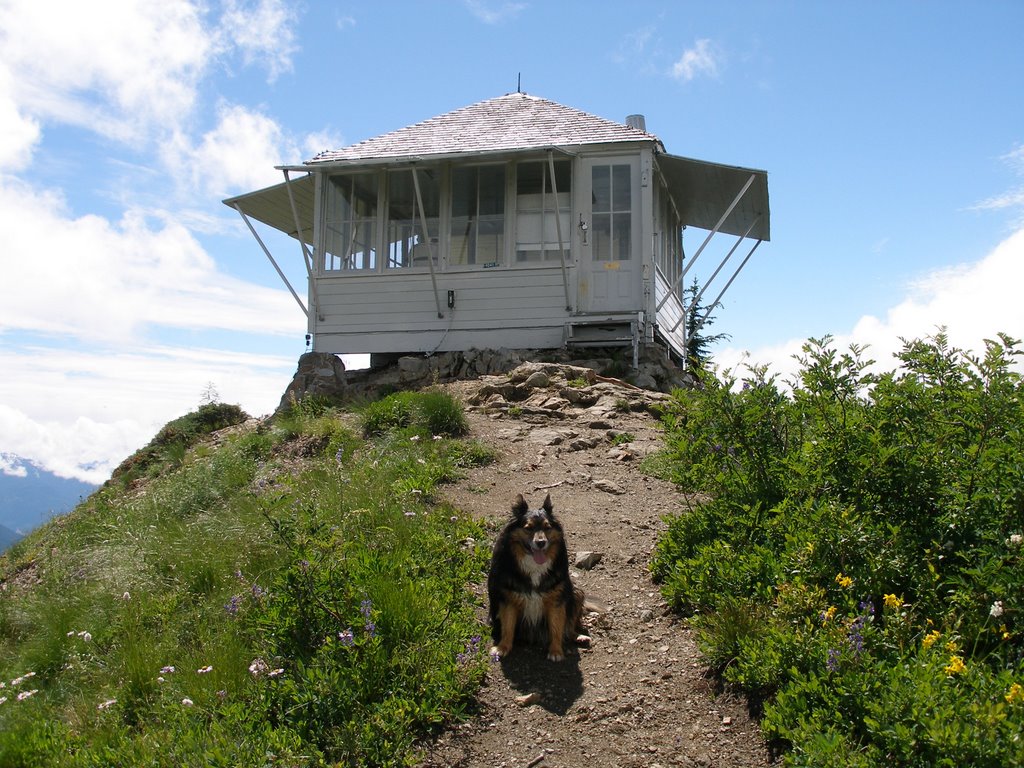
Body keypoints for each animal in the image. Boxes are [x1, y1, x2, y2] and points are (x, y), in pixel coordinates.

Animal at [487, 495, 593, 663]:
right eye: (528, 528)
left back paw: (580, 636)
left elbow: (557, 626)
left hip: (576, 594)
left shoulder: (557, 600)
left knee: (569, 627)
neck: (534, 566)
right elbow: (508, 626)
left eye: (547, 527)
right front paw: (502, 648)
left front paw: (556, 651)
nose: (541, 542)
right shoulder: (509, 599)